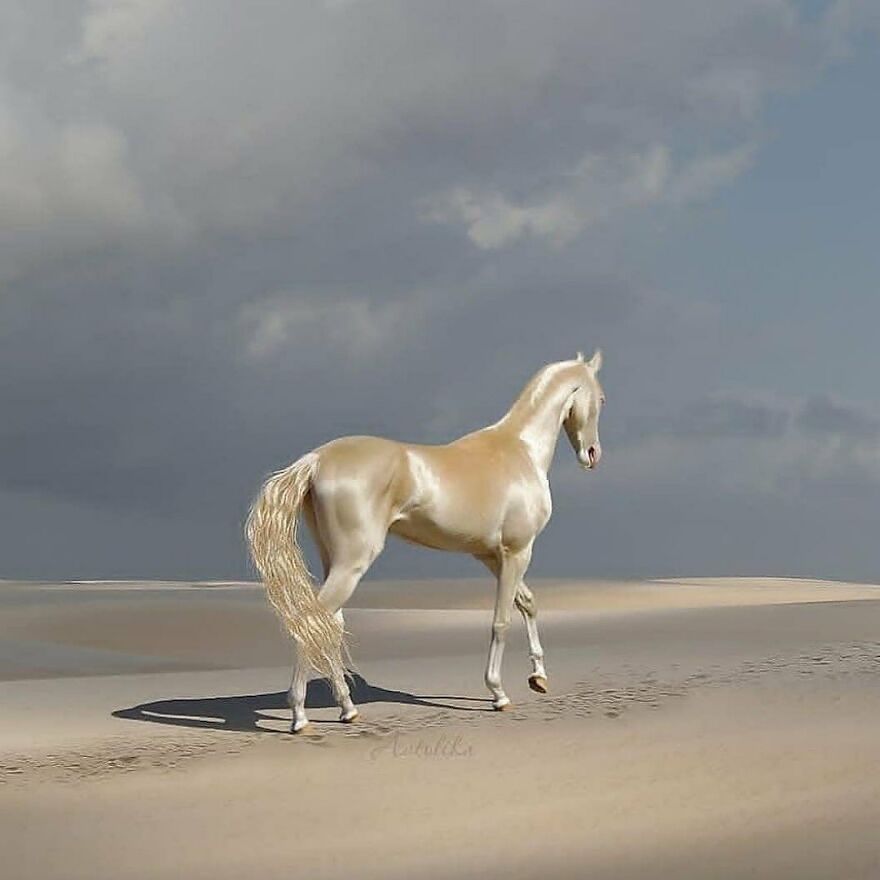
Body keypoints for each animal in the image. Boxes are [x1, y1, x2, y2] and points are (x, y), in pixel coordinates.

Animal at [246, 350, 604, 732]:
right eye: (601, 399)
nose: (592, 454)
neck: (519, 451)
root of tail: (316, 459)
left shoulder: (491, 556)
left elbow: (528, 603)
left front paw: (538, 677)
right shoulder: (517, 551)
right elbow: (501, 620)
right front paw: (498, 693)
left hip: (335, 562)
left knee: (329, 625)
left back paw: (347, 708)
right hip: (352, 563)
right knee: (314, 622)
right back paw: (300, 716)